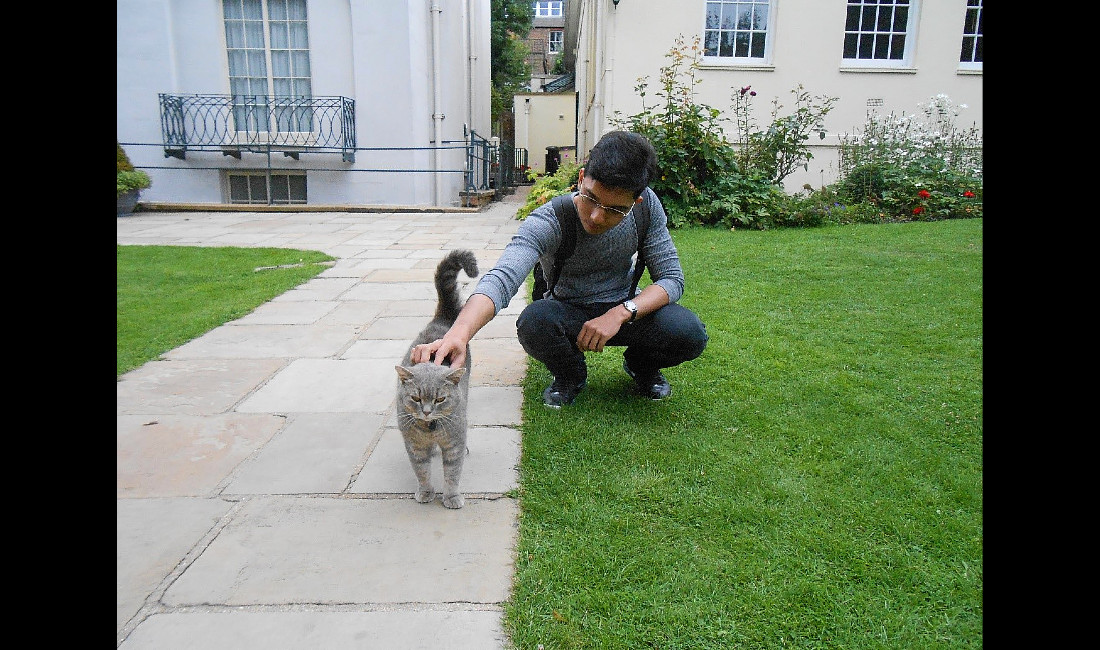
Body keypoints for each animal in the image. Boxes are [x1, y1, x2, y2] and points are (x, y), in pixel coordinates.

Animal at [398, 249, 479, 508]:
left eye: (440, 399)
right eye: (415, 398)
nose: (426, 411)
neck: (430, 431)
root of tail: (442, 318)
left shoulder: (453, 445)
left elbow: (452, 474)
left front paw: (451, 497)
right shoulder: (414, 446)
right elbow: (422, 471)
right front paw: (425, 492)